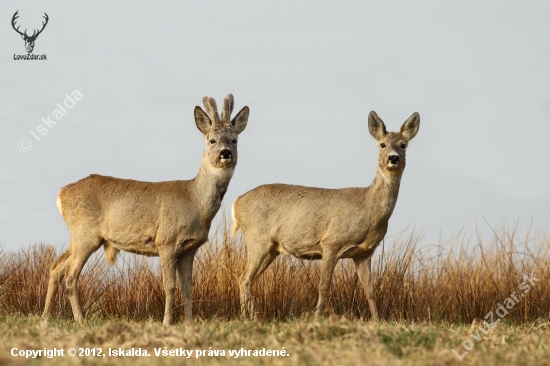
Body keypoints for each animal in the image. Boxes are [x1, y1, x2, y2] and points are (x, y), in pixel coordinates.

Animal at [43, 93, 250, 324]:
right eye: (211, 140)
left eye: (234, 140)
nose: (225, 152)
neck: (194, 201)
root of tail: (61, 194)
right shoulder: (166, 241)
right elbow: (170, 286)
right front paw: (167, 322)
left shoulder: (190, 249)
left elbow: (188, 287)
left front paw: (188, 322)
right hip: (86, 233)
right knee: (70, 275)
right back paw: (80, 319)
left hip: (79, 236)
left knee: (56, 267)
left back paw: (45, 316)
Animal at [234, 111, 422, 320]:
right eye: (382, 144)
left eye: (403, 144)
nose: (393, 158)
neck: (369, 206)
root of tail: (236, 203)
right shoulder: (331, 242)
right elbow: (324, 287)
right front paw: (316, 319)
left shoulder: (364, 253)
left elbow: (370, 290)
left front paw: (377, 321)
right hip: (257, 237)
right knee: (244, 278)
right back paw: (249, 317)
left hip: (272, 248)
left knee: (245, 279)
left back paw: (251, 317)